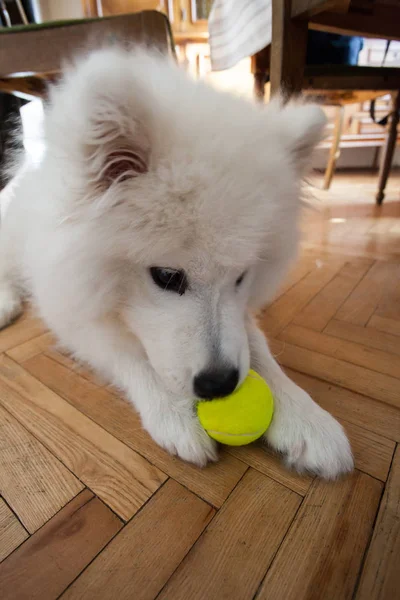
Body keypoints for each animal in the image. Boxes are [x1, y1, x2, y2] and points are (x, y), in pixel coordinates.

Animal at [0, 48, 354, 478]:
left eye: (243, 275)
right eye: (167, 276)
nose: (219, 385)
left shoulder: (238, 316)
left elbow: (255, 344)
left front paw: (307, 417)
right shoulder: (71, 307)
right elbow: (128, 353)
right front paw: (173, 414)